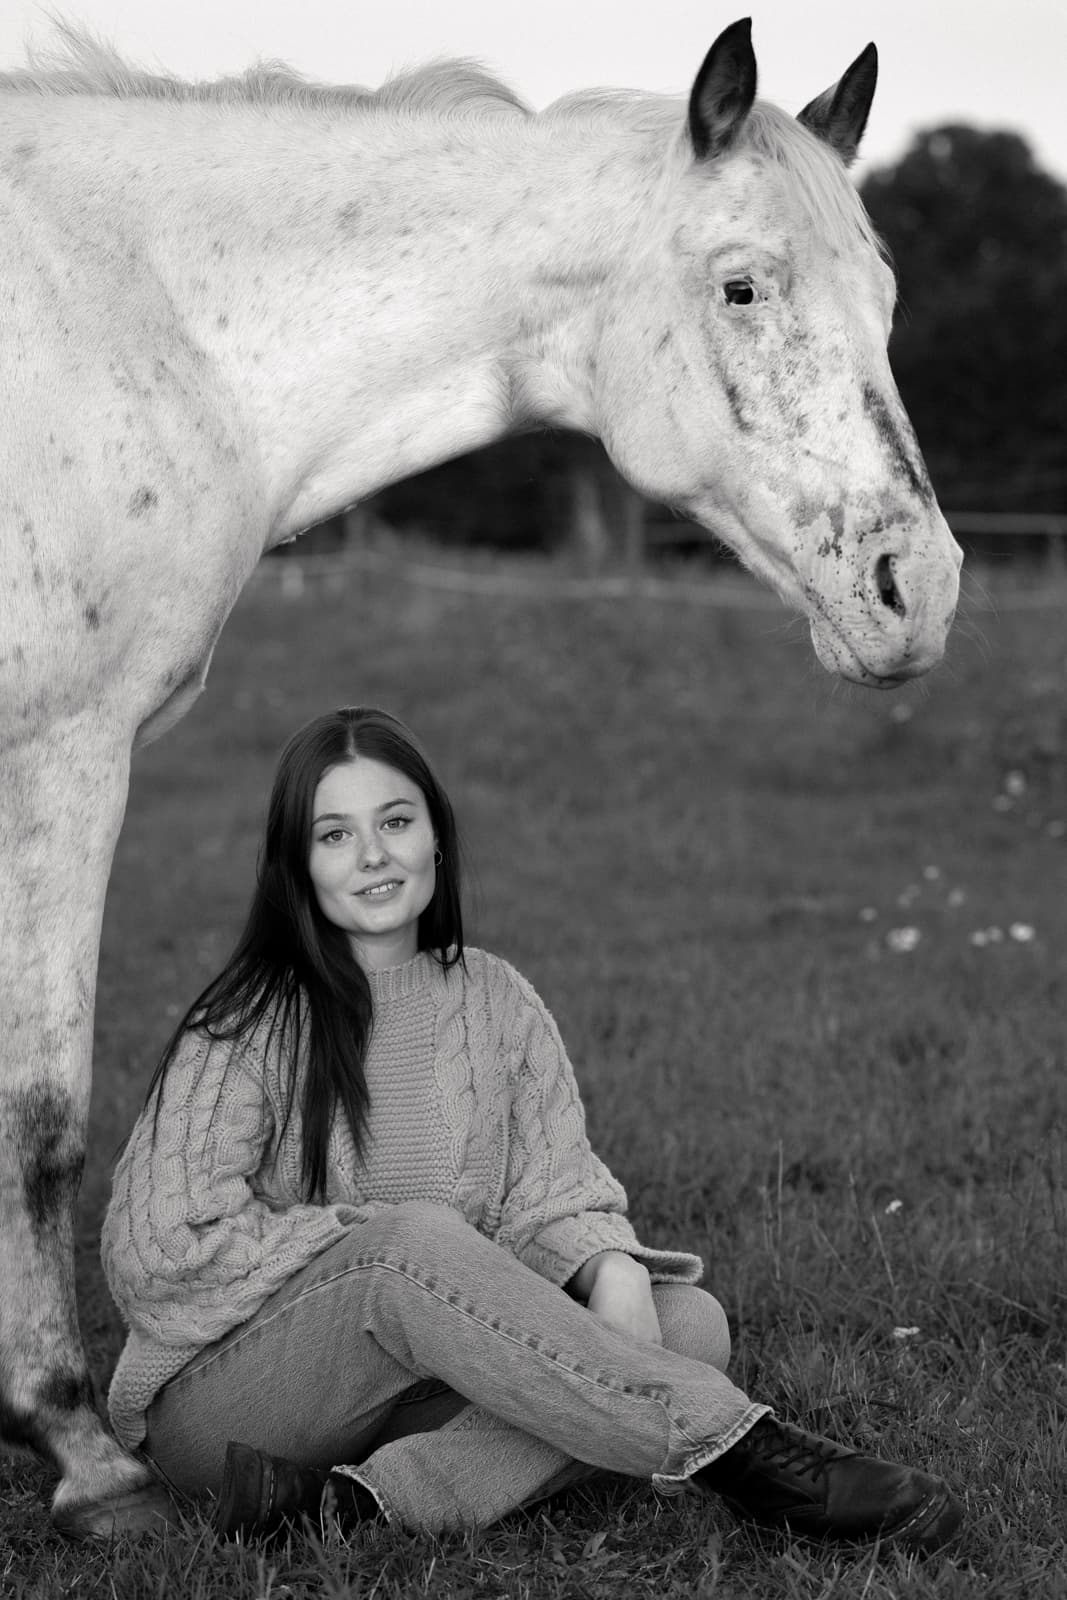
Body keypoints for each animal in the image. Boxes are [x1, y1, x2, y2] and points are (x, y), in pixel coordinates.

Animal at [0, 18, 961, 1536]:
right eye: (741, 284)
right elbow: (38, 1115)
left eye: (880, 295)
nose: (915, 591)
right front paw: (80, 1451)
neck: (133, 310)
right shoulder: (62, 752)